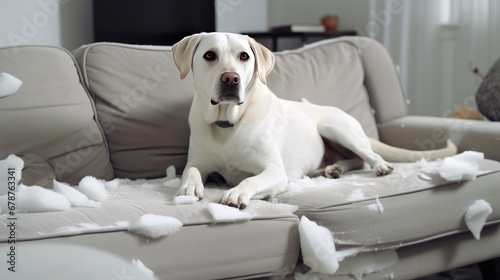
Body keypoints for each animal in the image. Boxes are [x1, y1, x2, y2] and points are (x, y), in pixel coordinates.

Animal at [172, 32, 458, 208]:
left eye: (244, 56)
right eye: (209, 55)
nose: (231, 79)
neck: (227, 123)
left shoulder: (275, 172)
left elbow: (250, 179)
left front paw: (236, 192)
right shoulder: (197, 161)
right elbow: (192, 171)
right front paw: (189, 188)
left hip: (334, 127)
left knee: (368, 156)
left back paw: (378, 167)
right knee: (354, 160)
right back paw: (332, 169)